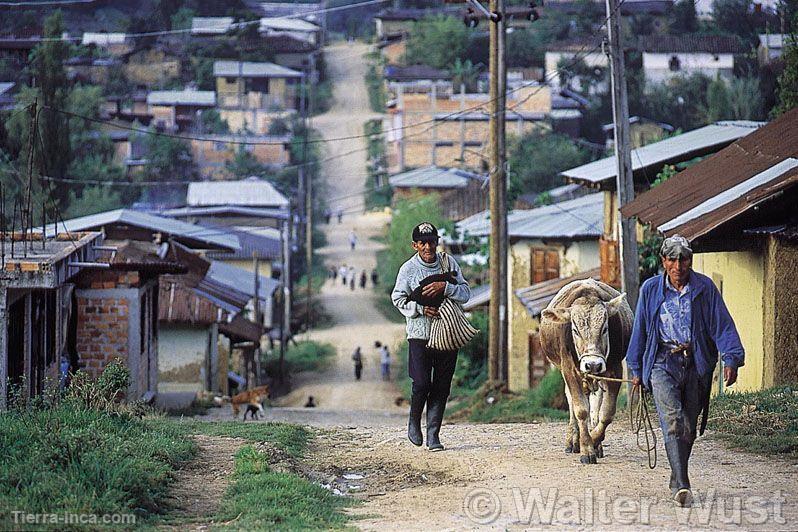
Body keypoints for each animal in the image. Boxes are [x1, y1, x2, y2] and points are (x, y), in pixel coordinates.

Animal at [540, 280, 636, 464]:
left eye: (604, 328)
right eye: (575, 330)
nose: (592, 364)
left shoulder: (615, 370)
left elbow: (606, 413)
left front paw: (594, 440)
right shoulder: (569, 370)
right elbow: (580, 410)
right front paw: (586, 448)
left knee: (595, 406)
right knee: (571, 401)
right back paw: (573, 440)